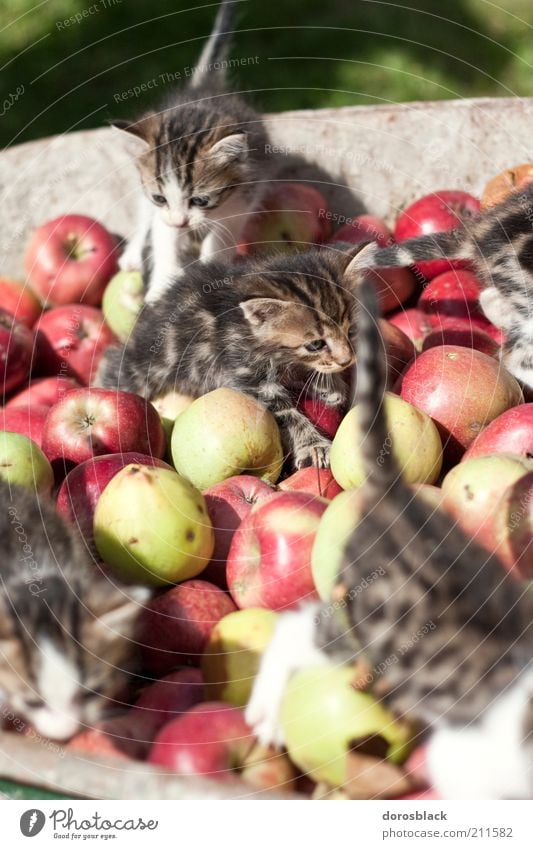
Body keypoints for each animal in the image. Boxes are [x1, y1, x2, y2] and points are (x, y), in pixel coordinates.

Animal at [97, 245, 360, 470]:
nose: (347, 360)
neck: (246, 328)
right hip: (144, 365)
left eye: (350, 331)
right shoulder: (245, 375)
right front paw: (313, 445)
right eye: (315, 344)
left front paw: (330, 387)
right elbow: (286, 413)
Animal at [112, 0, 270, 304]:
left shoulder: (243, 199)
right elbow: (162, 235)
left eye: (200, 200)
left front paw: (210, 270)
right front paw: (161, 285)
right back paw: (133, 255)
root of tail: (203, 88)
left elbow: (220, 239)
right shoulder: (159, 208)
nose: (181, 223)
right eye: (160, 198)